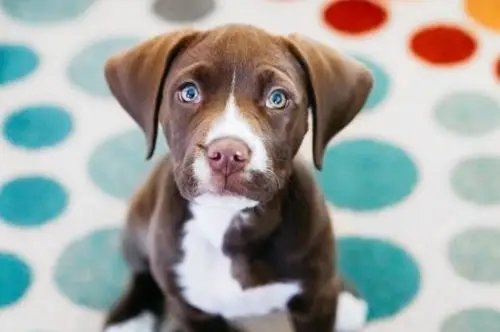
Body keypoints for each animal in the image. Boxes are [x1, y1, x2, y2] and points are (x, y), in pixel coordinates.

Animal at [102, 24, 372, 332]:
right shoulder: (193, 312)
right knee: (141, 272)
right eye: (189, 92)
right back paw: (129, 318)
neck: (229, 222)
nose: (228, 154)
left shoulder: (314, 302)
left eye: (277, 98)